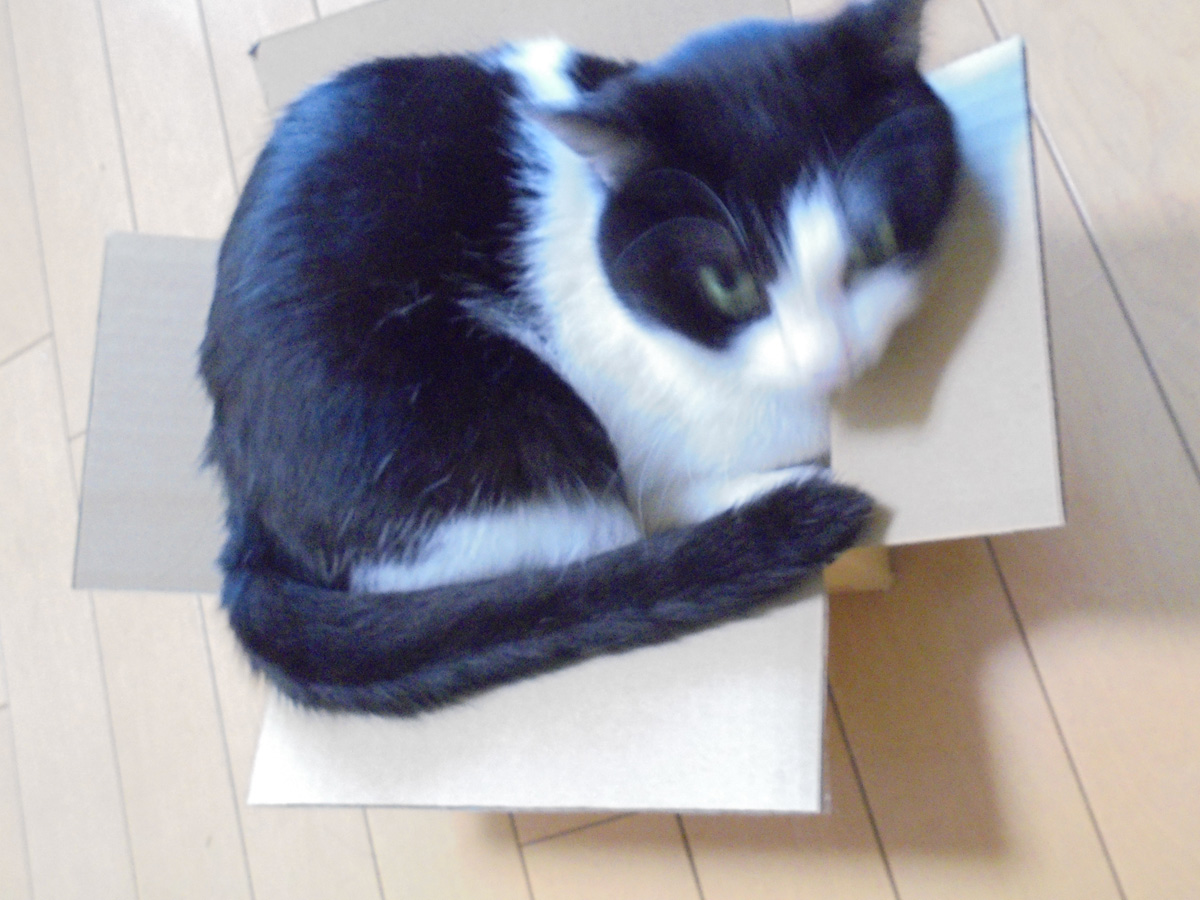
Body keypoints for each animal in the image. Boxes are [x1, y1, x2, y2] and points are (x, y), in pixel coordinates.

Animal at [199, 0, 959, 715]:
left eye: (875, 237)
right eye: (727, 283)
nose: (833, 360)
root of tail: (242, 505)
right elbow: (677, 492)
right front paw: (794, 476)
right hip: (486, 426)